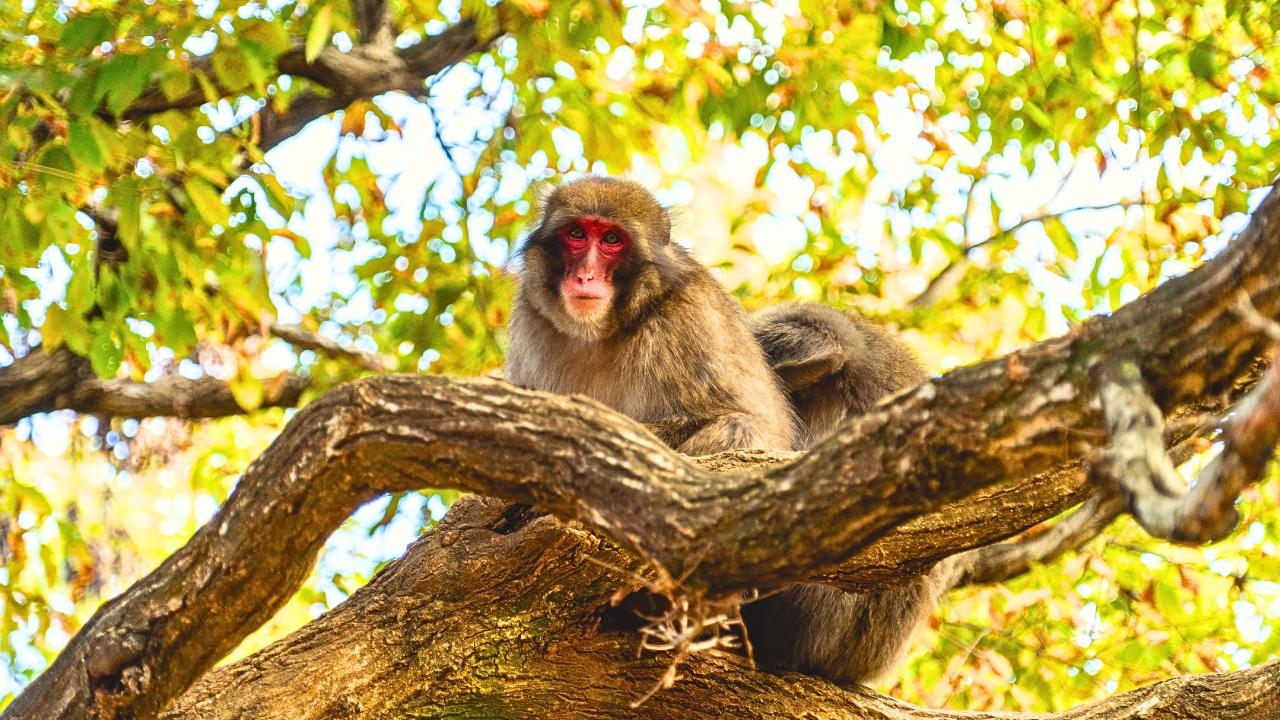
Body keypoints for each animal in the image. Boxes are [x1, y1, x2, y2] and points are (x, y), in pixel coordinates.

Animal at [504, 175, 950, 687]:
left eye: (612, 239)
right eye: (577, 234)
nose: (586, 276)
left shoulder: (687, 317)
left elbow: (754, 424)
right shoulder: (531, 320)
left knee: (738, 432)